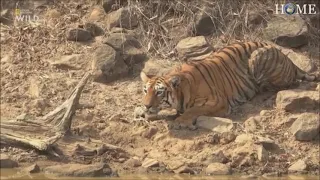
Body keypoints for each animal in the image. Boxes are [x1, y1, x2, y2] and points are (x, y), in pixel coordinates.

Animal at [141, 41, 320, 129]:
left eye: (159, 92)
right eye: (145, 91)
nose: (146, 106)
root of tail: (288, 58)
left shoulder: (217, 102)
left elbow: (194, 110)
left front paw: (180, 121)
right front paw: (148, 114)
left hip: (258, 58)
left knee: (284, 84)